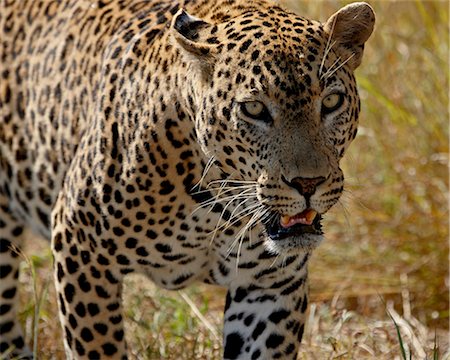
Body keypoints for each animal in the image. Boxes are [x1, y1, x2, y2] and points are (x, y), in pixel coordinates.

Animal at [0, 0, 372, 358]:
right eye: (253, 109)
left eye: (332, 102)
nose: (308, 184)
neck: (218, 207)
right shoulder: (80, 247)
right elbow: (99, 347)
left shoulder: (270, 284)